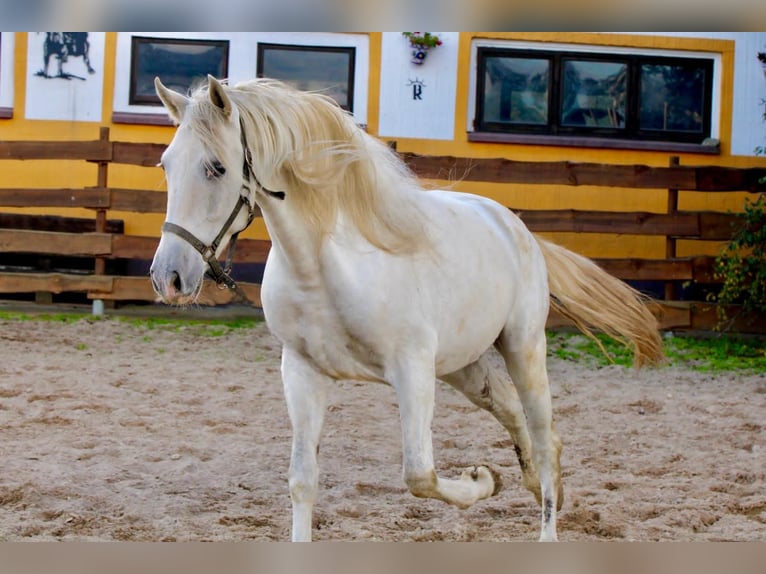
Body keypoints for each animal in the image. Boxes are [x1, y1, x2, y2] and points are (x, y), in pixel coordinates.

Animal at [150, 74, 664, 542]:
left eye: (217, 168)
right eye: (166, 165)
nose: (167, 277)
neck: (325, 268)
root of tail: (517, 228)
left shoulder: (412, 371)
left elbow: (420, 474)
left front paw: (481, 480)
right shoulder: (301, 371)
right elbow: (302, 481)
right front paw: (487, 477)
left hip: (523, 348)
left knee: (542, 435)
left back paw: (544, 526)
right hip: (464, 368)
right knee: (516, 417)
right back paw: (533, 487)